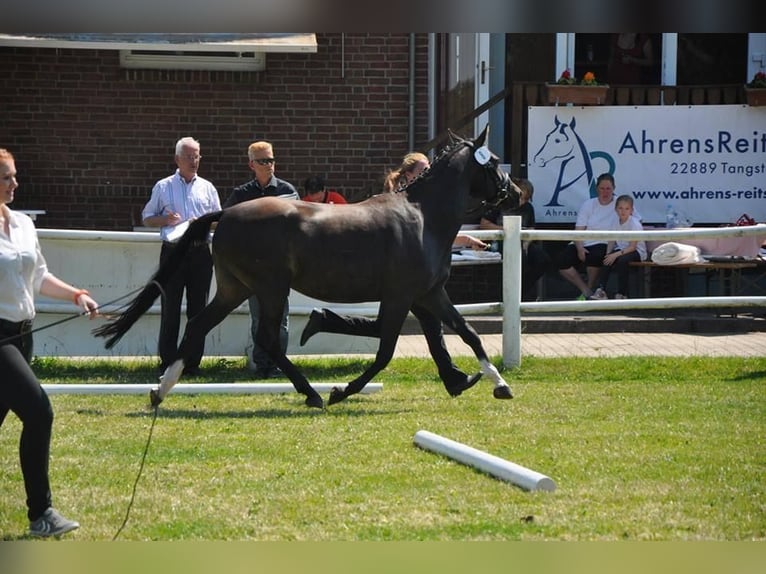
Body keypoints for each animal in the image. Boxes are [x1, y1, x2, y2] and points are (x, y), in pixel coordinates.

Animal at [93, 127, 520, 410]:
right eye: (496, 163)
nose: (516, 193)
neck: (423, 217)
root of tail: (226, 213)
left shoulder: (427, 294)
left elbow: (461, 335)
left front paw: (484, 382)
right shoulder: (403, 297)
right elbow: (386, 351)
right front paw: (341, 390)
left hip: (235, 288)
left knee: (199, 325)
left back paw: (160, 391)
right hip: (269, 288)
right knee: (266, 340)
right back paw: (312, 393)